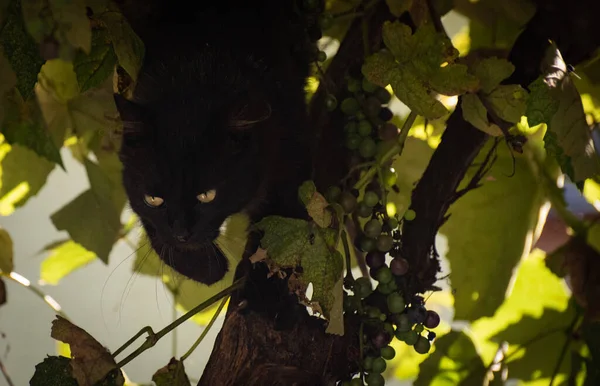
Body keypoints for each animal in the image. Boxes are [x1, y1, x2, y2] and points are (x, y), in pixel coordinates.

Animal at [116, 0, 314, 284]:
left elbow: (280, 243)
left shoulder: (290, 159)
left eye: (207, 195)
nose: (182, 234)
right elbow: (152, 225)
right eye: (153, 199)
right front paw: (205, 266)